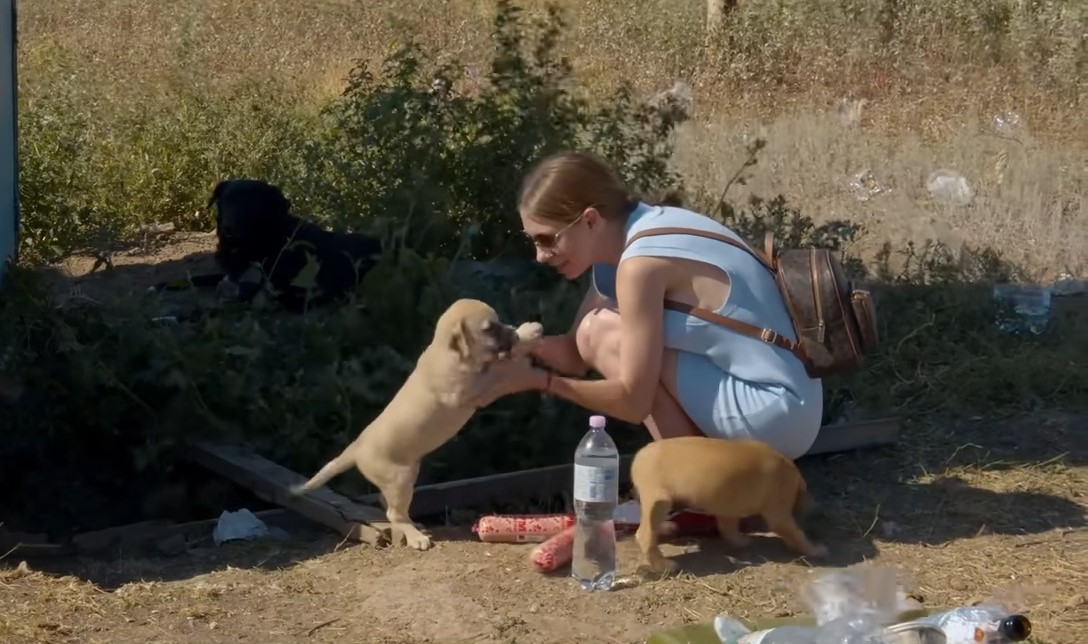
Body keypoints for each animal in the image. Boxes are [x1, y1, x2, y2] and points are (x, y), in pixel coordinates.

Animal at [158, 177, 382, 311]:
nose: (229, 230)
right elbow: (200, 277)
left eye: (252, 205)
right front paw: (165, 284)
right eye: (226, 200)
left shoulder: (275, 294)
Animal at [291, 300, 541, 550]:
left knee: (390, 505)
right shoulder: (472, 387)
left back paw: (415, 526)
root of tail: (356, 449)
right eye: (489, 329)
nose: (511, 330)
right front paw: (527, 335)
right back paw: (416, 537)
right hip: (400, 479)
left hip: (407, 475)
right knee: (393, 514)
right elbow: (500, 367)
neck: (449, 351)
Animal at [626, 435, 826, 574]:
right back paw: (663, 565)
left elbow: (729, 529)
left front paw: (741, 541)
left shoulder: (727, 510)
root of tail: (639, 457)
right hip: (660, 502)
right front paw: (814, 550)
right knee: (645, 535)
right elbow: (797, 533)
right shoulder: (779, 514)